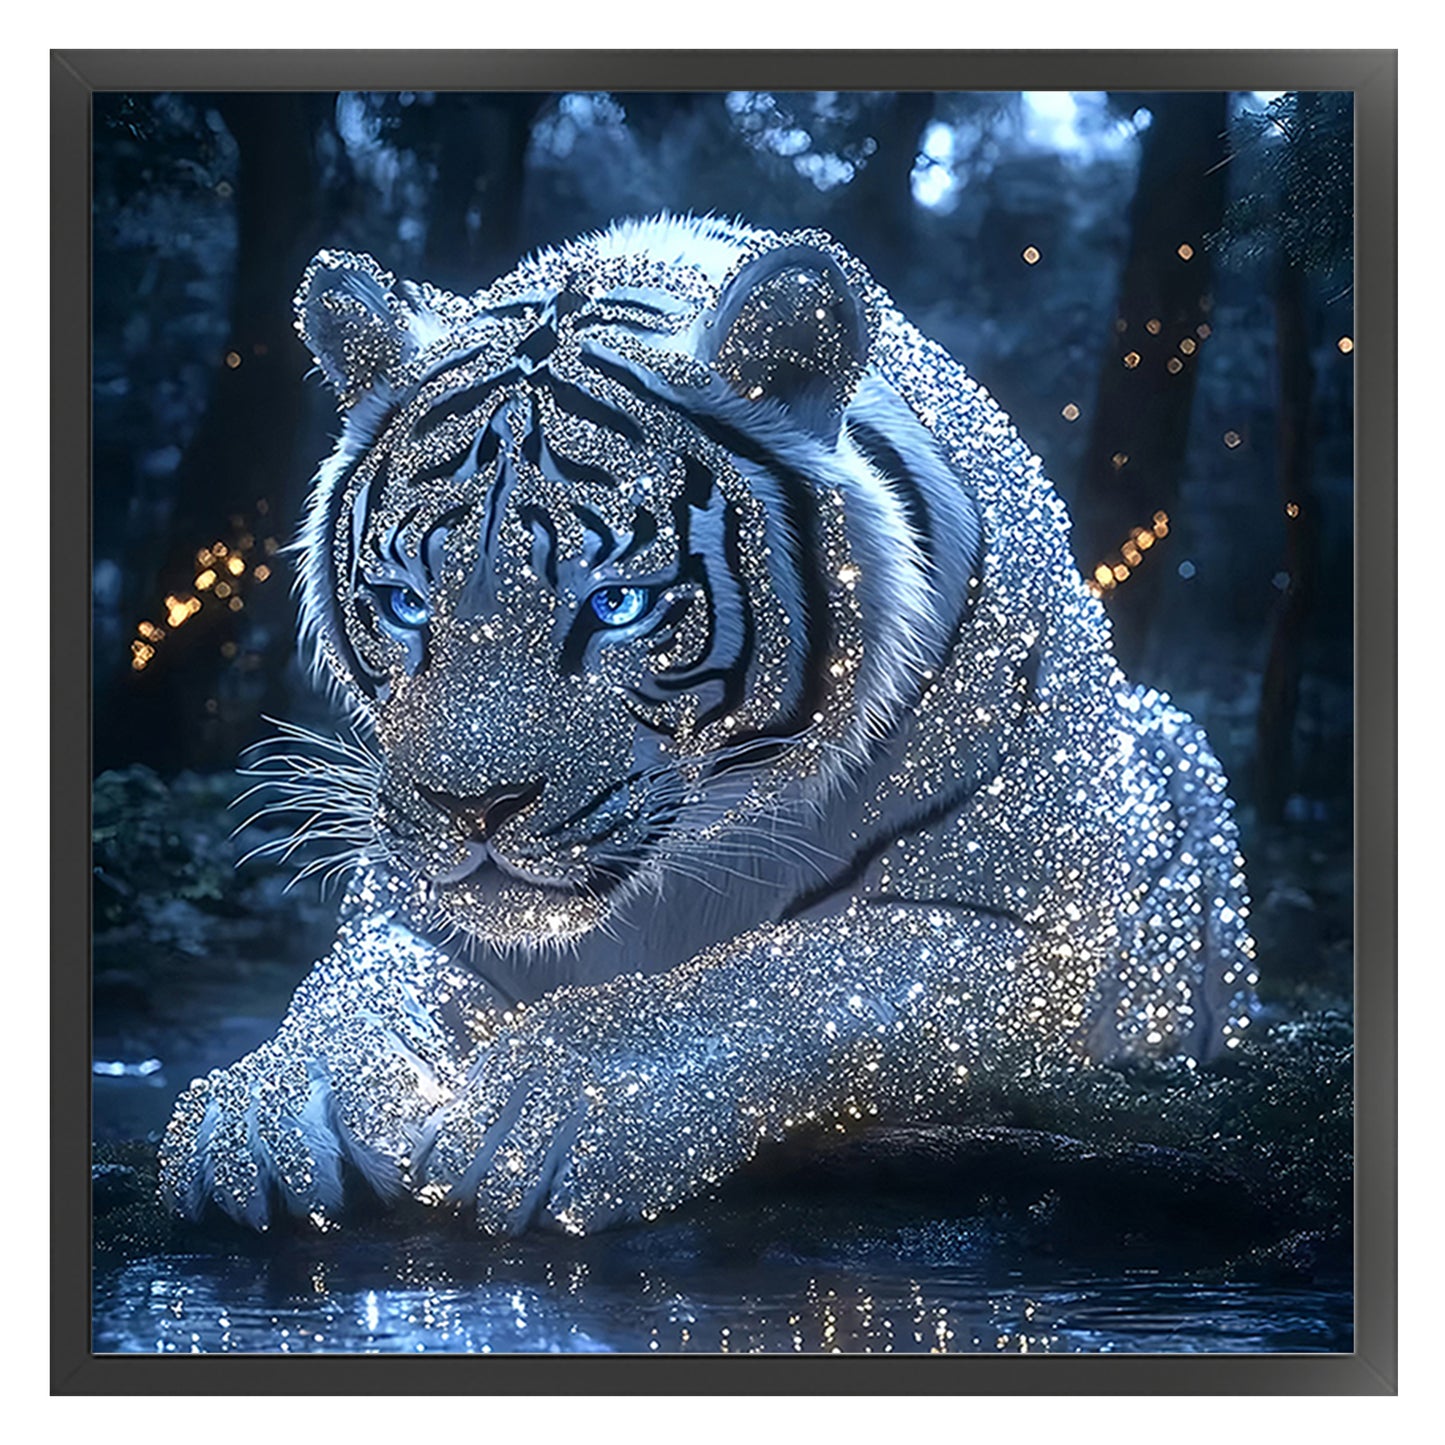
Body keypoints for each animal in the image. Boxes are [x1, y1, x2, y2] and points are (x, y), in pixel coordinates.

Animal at [158, 214, 1259, 1236]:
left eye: (615, 605)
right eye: (403, 602)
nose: (470, 808)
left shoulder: (1030, 926)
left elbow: (788, 976)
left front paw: (549, 1104)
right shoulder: (410, 906)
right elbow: (354, 993)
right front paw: (260, 1110)